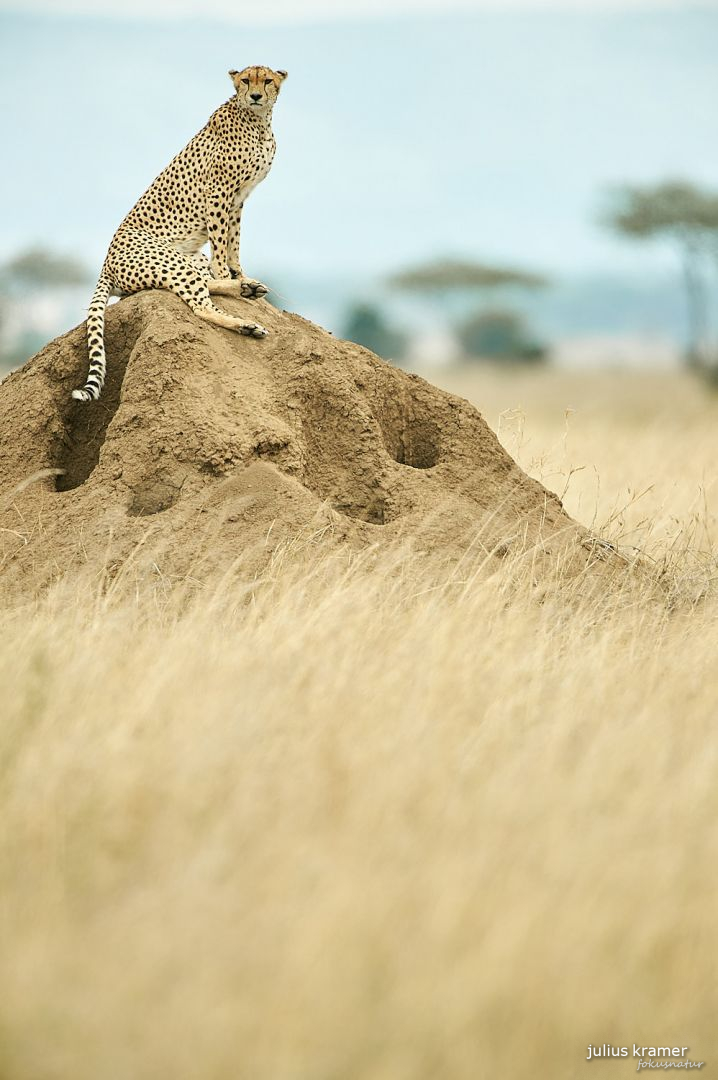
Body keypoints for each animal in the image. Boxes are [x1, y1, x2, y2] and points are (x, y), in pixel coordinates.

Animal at [72, 67, 285, 406]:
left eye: (267, 81)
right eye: (245, 81)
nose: (254, 95)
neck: (258, 120)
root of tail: (105, 264)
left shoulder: (239, 198)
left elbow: (233, 241)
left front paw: (241, 274)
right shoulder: (219, 192)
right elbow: (221, 243)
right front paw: (230, 273)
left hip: (188, 259)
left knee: (203, 284)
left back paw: (247, 288)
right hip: (171, 260)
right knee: (201, 305)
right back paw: (247, 323)